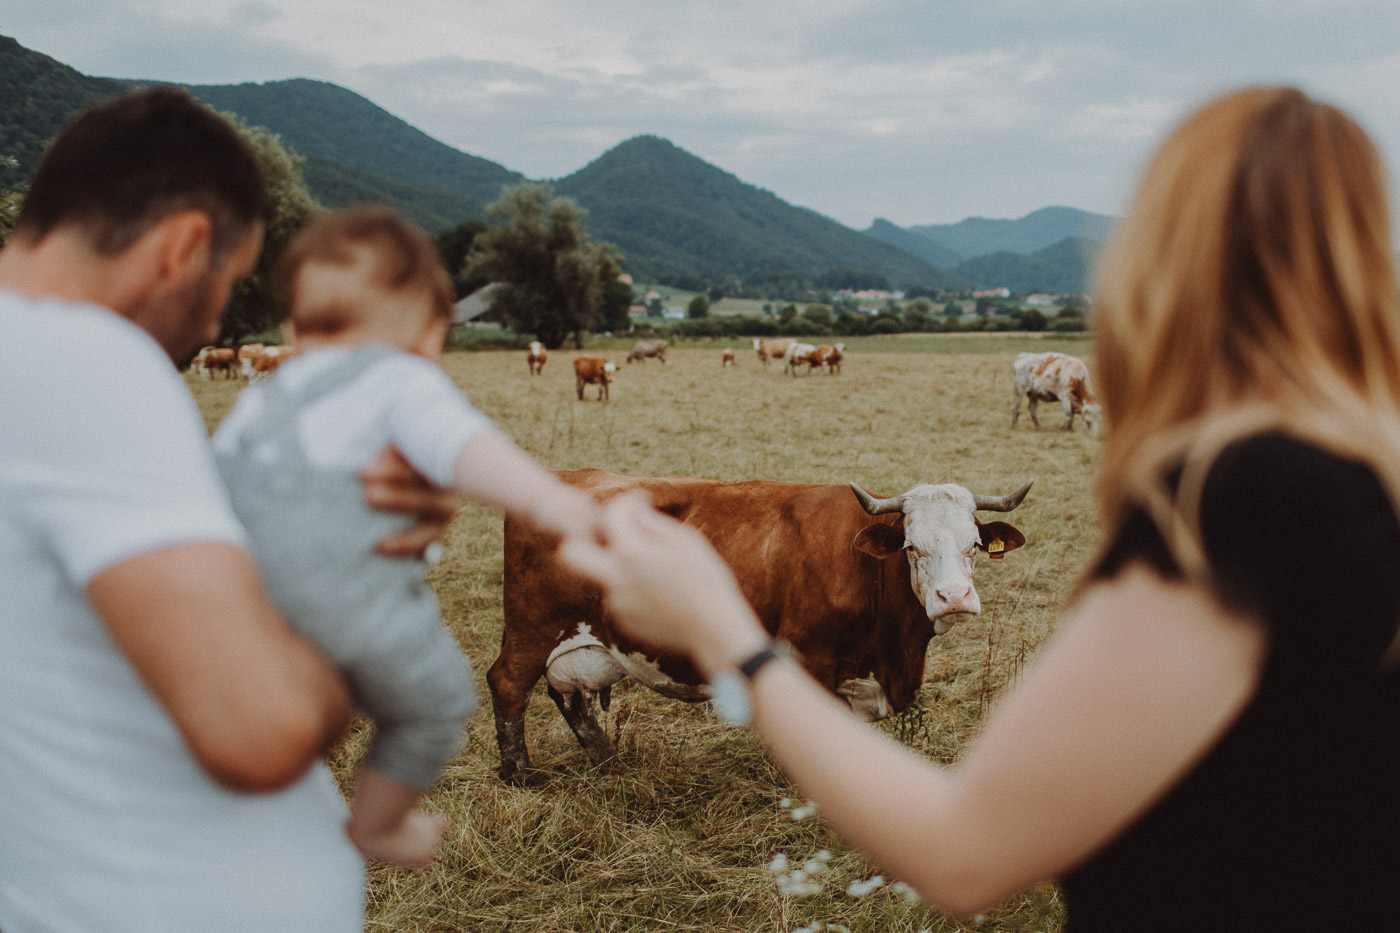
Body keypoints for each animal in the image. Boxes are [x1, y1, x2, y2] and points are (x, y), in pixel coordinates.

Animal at [490, 465, 1030, 778]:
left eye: (974, 544)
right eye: (911, 547)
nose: (953, 598)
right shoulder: (812, 659)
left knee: (570, 697)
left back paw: (611, 765)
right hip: (533, 630)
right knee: (510, 684)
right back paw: (520, 774)